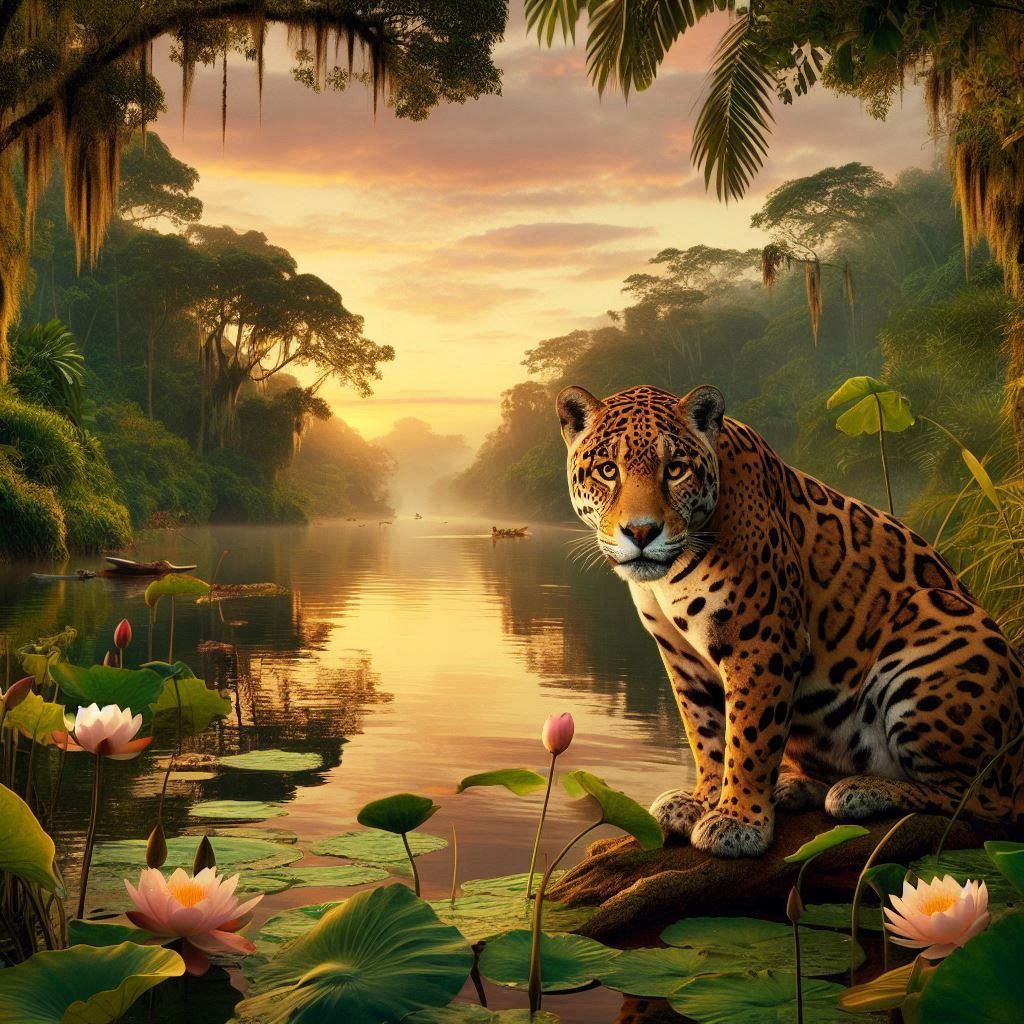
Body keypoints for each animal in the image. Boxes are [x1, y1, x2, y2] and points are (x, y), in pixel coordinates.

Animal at [557, 382, 1024, 857]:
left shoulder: (762, 638)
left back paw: (862, 791)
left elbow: (749, 737)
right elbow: (705, 733)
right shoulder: (680, 655)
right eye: (608, 470)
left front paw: (737, 820)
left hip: (937, 625)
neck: (670, 574)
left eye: (675, 470)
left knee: (985, 799)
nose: (641, 532)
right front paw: (702, 799)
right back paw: (798, 787)